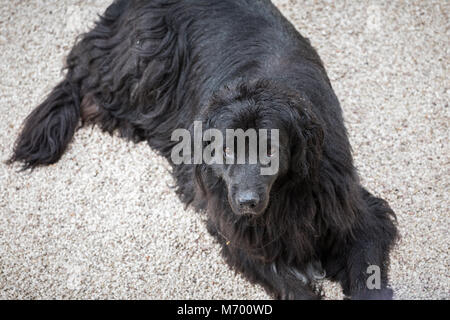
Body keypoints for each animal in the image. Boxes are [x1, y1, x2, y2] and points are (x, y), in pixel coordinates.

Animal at [9, 0, 398, 300]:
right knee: (81, 79)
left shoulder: (350, 206)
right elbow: (288, 282)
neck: (285, 195)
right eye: (226, 151)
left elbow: (366, 267)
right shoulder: (233, 226)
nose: (247, 202)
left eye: (271, 150)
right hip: (143, 60)